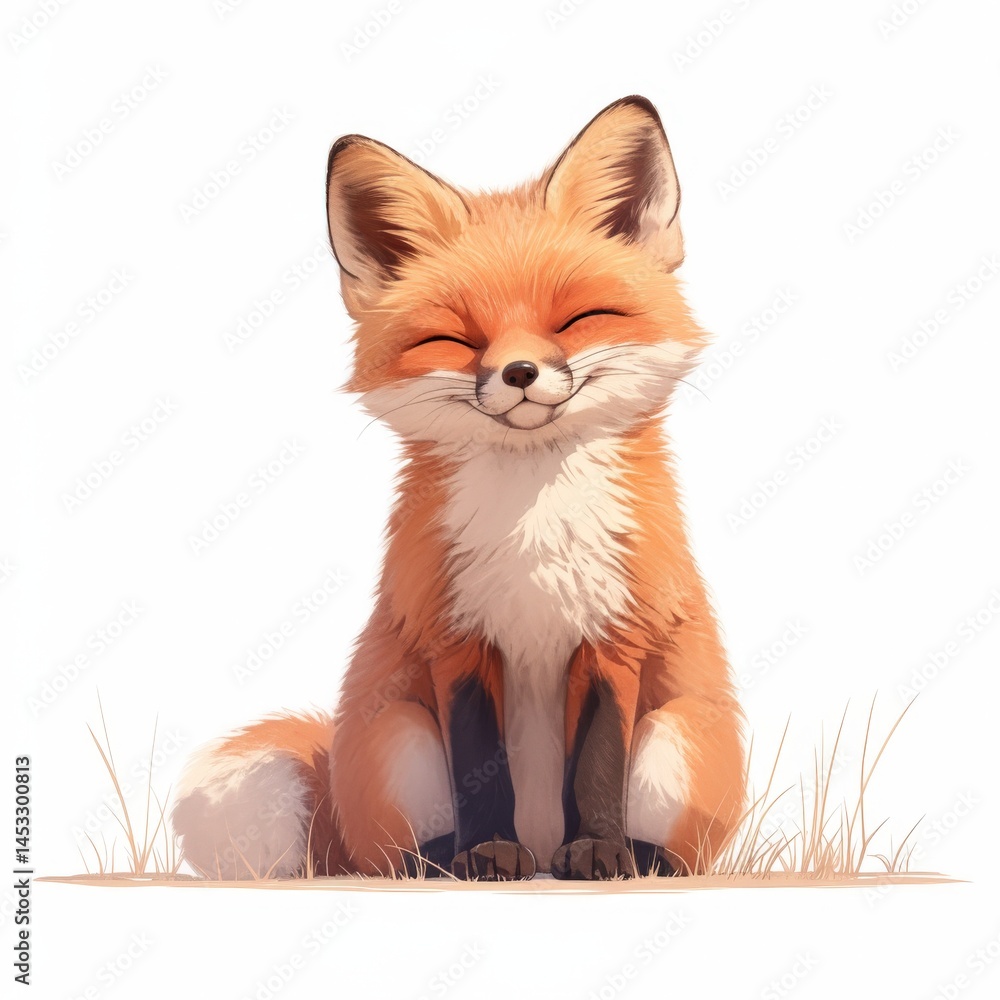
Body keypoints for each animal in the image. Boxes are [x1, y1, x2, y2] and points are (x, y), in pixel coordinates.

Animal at [172, 95, 746, 881]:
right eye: (456, 339)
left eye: (577, 319)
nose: (520, 372)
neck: (534, 525)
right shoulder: (455, 637)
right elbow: (480, 764)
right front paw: (484, 852)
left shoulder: (614, 632)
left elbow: (597, 763)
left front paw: (599, 849)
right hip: (399, 734)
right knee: (387, 855)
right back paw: (448, 859)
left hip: (674, 734)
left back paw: (632, 855)